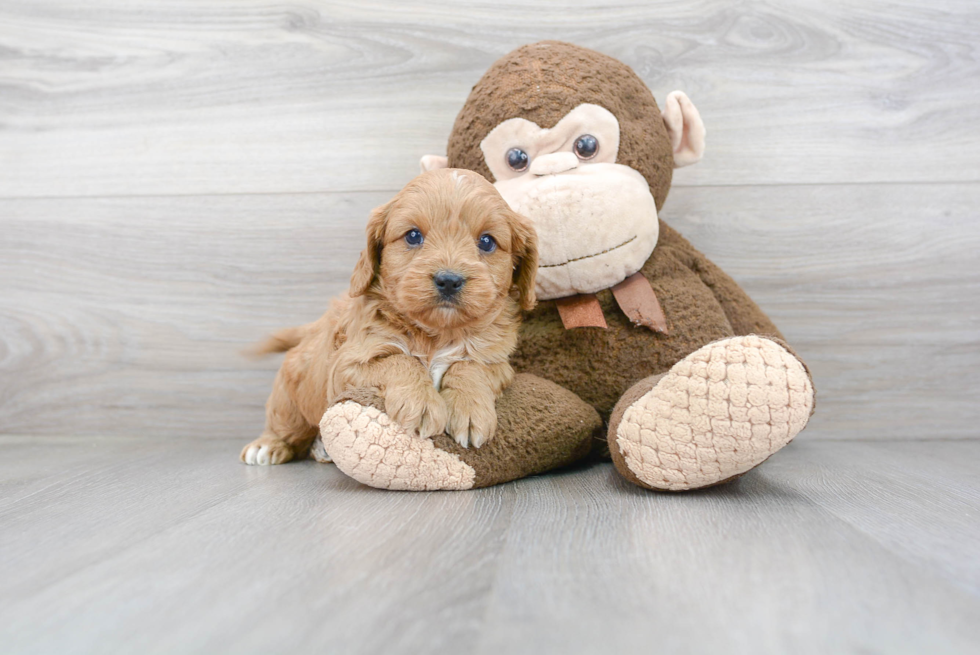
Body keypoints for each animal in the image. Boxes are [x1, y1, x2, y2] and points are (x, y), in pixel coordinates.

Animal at [242, 169, 540, 466]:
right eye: (413, 236)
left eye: (487, 241)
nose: (449, 280)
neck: (437, 334)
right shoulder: (347, 364)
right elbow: (401, 360)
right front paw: (421, 402)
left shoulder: (498, 362)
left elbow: (469, 367)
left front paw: (469, 409)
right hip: (288, 400)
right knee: (285, 424)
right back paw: (268, 445)